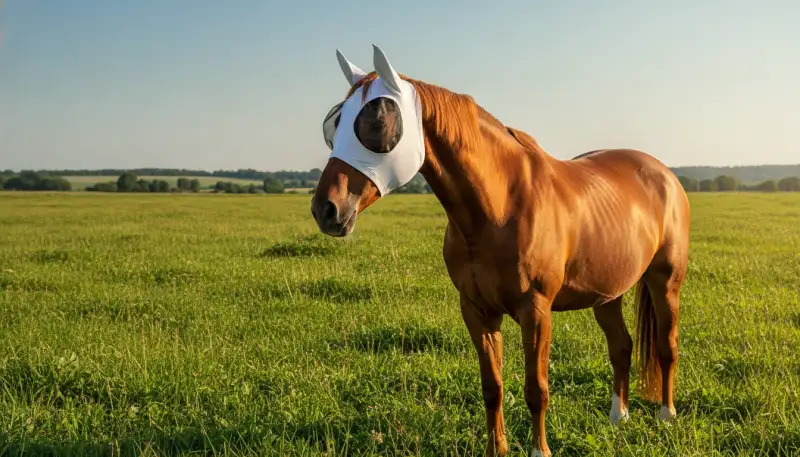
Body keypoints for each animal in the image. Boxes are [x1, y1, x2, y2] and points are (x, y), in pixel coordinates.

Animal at [311, 45, 691, 457]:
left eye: (377, 123)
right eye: (332, 127)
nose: (326, 210)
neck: (500, 207)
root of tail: (662, 173)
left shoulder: (535, 310)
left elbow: (536, 390)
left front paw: (540, 450)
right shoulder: (477, 310)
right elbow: (492, 387)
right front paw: (497, 448)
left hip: (664, 283)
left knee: (666, 347)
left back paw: (666, 416)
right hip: (607, 293)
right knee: (621, 346)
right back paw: (618, 417)